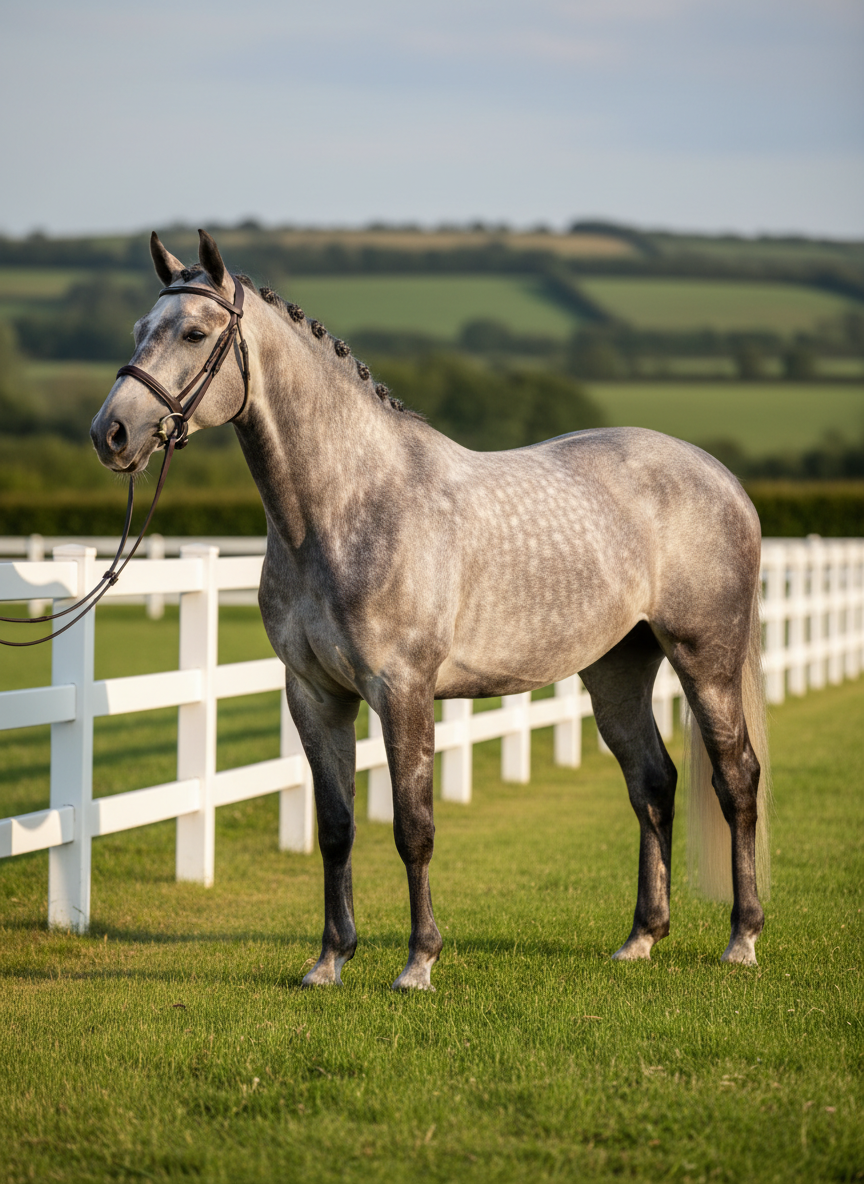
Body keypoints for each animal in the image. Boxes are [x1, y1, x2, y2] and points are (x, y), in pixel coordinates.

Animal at [90, 230, 771, 990]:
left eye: (195, 332)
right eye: (140, 329)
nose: (111, 433)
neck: (345, 508)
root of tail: (722, 478)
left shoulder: (403, 690)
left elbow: (413, 827)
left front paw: (419, 961)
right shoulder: (314, 695)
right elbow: (335, 828)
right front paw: (330, 959)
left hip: (706, 660)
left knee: (736, 779)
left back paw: (742, 938)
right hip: (617, 668)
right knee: (651, 782)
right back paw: (642, 938)